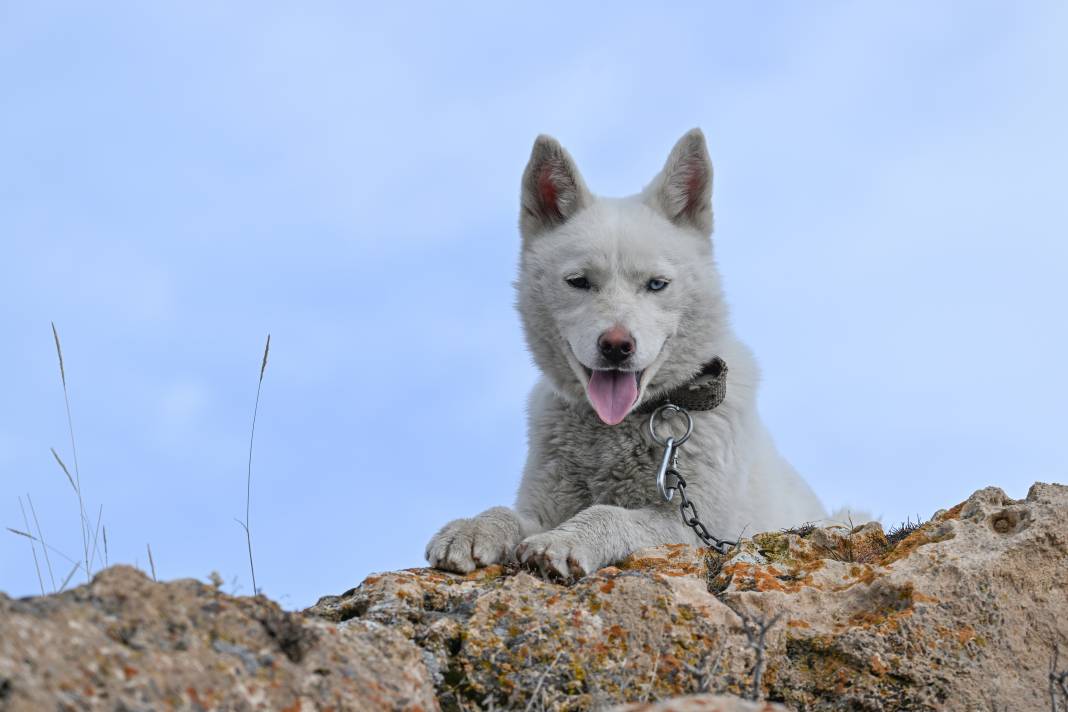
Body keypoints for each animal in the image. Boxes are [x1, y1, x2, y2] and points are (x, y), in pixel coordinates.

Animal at [425, 130, 824, 580]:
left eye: (656, 284)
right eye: (579, 282)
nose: (616, 346)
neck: (622, 427)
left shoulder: (698, 529)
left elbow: (609, 513)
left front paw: (565, 540)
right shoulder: (541, 507)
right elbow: (505, 513)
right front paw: (472, 528)